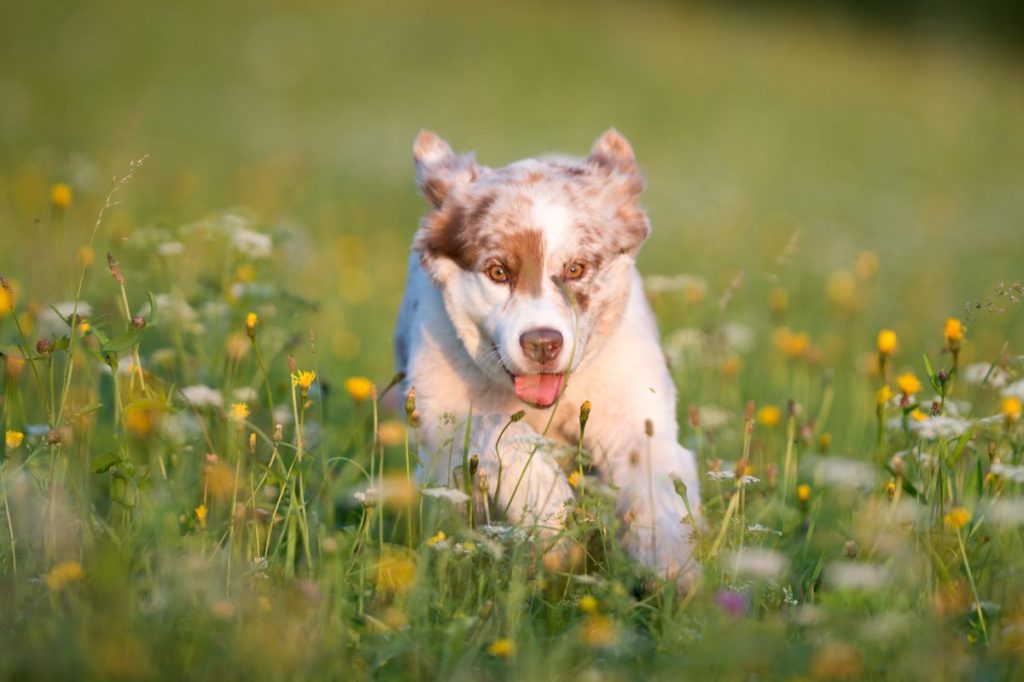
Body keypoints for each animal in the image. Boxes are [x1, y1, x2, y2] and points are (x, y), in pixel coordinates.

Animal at [395, 129, 700, 577]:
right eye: (498, 271)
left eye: (575, 269)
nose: (542, 343)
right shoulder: (439, 409)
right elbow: (499, 430)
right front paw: (554, 521)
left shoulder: (635, 409)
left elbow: (658, 483)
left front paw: (674, 571)